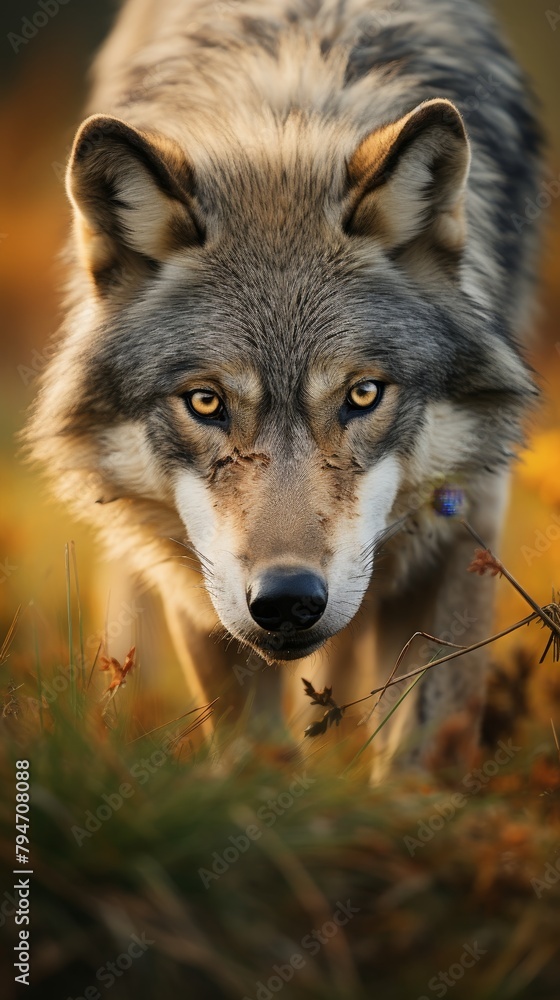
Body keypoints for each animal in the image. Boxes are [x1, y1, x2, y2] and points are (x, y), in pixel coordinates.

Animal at [28, 0, 542, 772]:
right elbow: (252, 746)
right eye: (206, 402)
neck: (288, 114)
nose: (288, 599)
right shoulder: (201, 577)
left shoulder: (469, 506)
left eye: (363, 395)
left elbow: (424, 744)